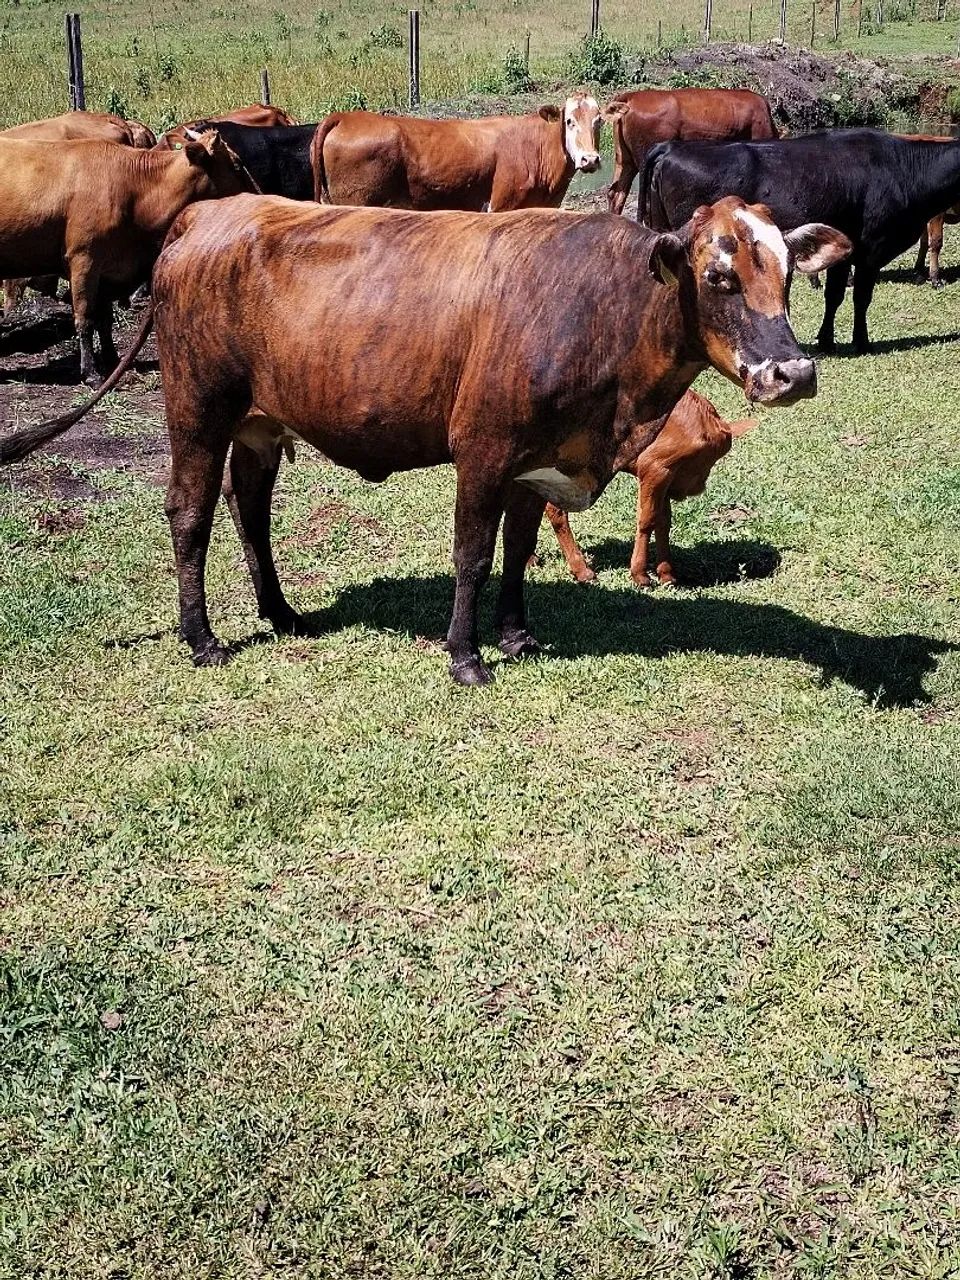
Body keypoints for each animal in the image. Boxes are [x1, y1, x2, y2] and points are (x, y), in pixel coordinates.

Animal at [0, 132, 256, 384]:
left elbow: (105, 319)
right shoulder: (84, 259)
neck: (135, 190)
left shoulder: (106, 269)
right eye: (237, 164)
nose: (259, 195)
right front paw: (91, 373)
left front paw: (112, 360)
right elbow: (85, 318)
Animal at [538, 390, 756, 586]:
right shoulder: (656, 468)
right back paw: (582, 570)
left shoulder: (666, 479)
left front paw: (666, 574)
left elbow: (663, 521)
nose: (697, 487)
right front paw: (640, 575)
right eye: (703, 461)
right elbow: (647, 519)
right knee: (555, 509)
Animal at [641, 128, 960, 354]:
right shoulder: (870, 251)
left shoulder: (843, 253)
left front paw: (826, 340)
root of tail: (671, 146)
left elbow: (834, 296)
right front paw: (862, 341)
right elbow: (861, 298)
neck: (903, 169)